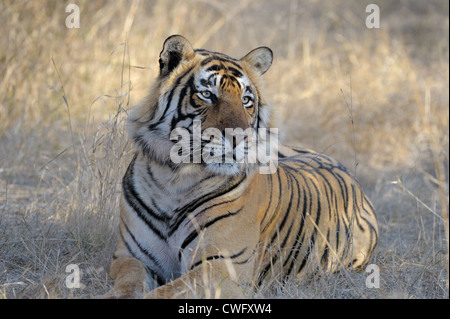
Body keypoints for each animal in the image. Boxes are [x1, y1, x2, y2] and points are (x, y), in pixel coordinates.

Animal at [107, 35, 378, 300]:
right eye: (207, 95)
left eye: (246, 100)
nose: (239, 137)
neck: (174, 179)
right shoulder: (130, 257)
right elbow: (128, 284)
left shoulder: (221, 267)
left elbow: (164, 293)